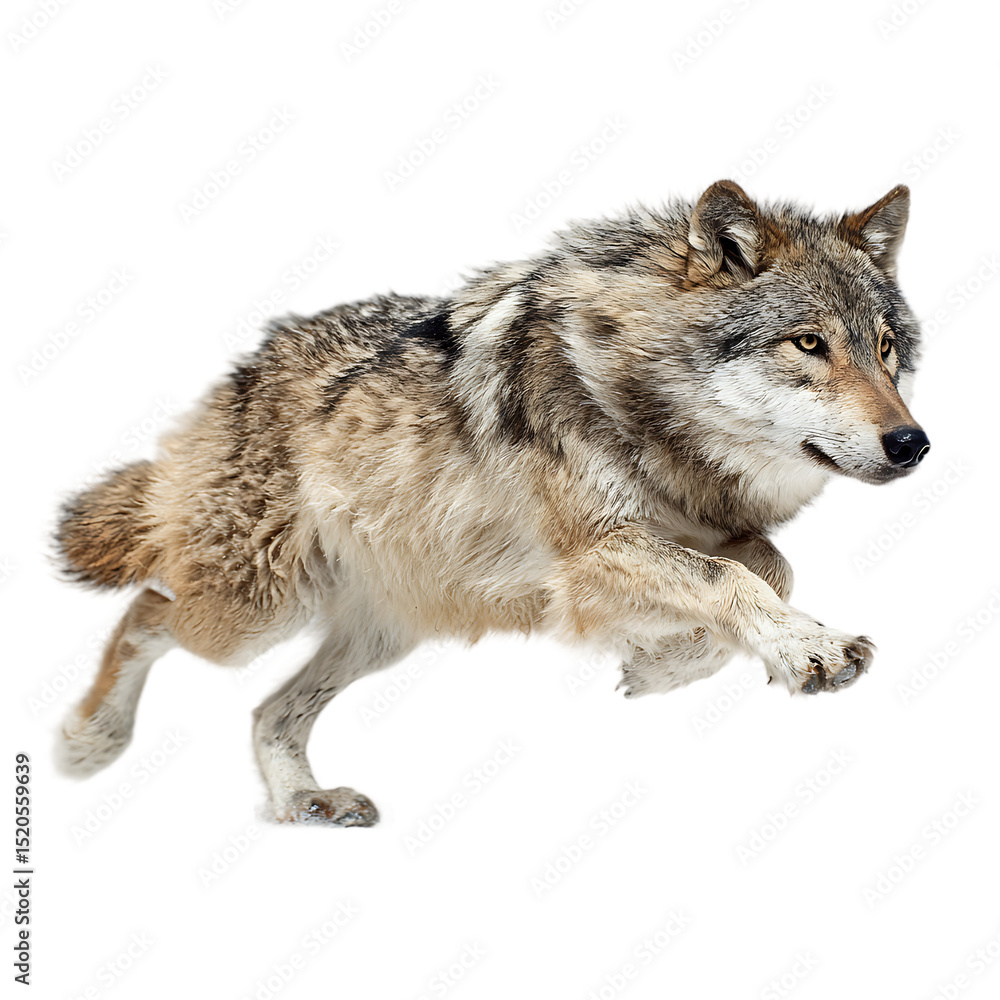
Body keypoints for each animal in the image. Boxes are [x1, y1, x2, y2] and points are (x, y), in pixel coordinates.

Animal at [54, 180, 929, 826]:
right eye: (809, 343)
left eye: (885, 349)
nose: (912, 443)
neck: (640, 403)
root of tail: (235, 378)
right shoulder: (588, 559)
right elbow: (735, 581)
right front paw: (803, 648)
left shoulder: (691, 536)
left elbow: (768, 569)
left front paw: (664, 666)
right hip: (256, 611)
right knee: (146, 610)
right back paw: (86, 742)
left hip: (382, 633)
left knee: (269, 709)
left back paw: (303, 799)